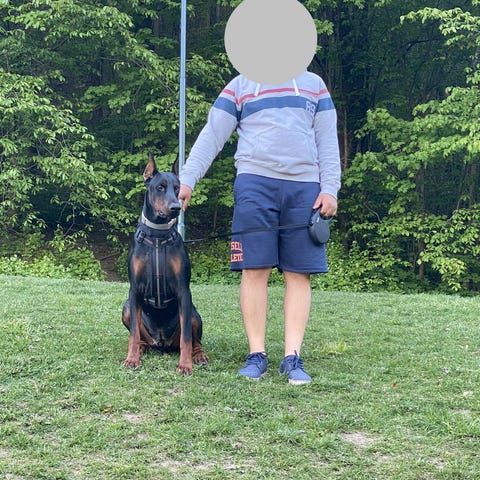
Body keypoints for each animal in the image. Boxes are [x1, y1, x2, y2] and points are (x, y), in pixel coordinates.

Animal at [122, 153, 208, 374]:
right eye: (160, 187)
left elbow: (186, 338)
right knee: (140, 338)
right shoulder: (134, 290)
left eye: (177, 188)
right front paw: (131, 359)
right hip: (127, 308)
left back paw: (199, 355)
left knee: (194, 341)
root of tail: (161, 343)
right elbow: (133, 334)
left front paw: (185, 365)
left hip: (193, 313)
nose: (175, 208)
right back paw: (140, 349)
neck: (157, 235)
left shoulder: (183, 291)